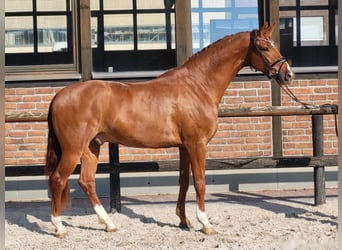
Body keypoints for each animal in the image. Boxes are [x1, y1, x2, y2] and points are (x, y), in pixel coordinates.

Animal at [45, 22, 294, 237]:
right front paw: (205, 223)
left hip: (91, 147)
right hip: (73, 149)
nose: (288, 74)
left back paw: (108, 223)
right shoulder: (197, 144)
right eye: (264, 47)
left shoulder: (184, 147)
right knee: (58, 178)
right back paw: (59, 227)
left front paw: (184, 221)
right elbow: (200, 182)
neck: (198, 85)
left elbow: (183, 182)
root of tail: (59, 95)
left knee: (86, 181)